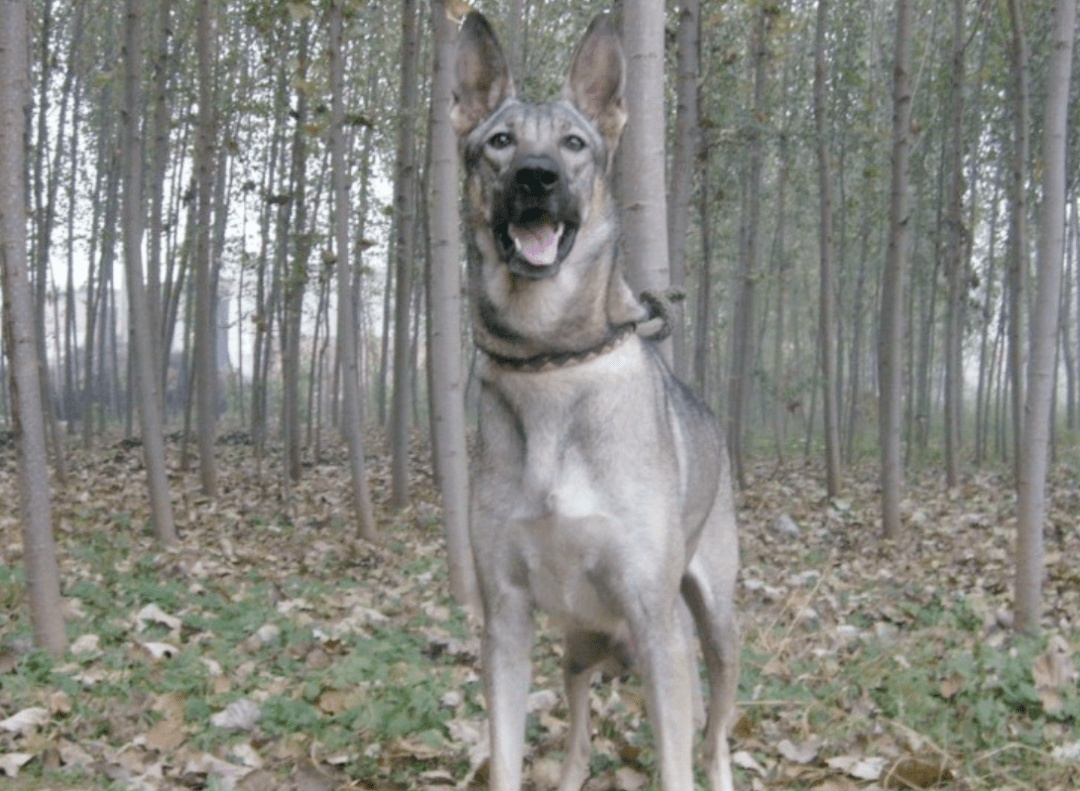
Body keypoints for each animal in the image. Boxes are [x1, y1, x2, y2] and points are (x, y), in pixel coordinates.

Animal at [449, 12, 743, 791]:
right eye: (500, 141)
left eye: (574, 144)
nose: (536, 178)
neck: (552, 359)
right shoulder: (506, 615)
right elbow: (506, 755)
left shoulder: (653, 612)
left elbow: (677, 761)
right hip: (579, 639)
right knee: (580, 719)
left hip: (713, 623)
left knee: (715, 730)